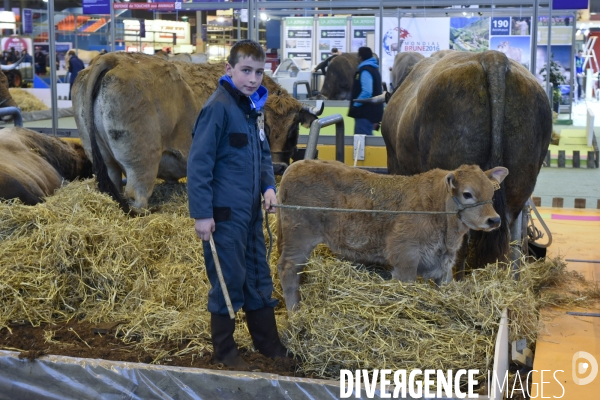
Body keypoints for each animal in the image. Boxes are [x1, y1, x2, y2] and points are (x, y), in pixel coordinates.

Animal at [276, 159, 506, 312]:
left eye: (492, 193)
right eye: (467, 194)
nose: (494, 220)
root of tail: (296, 165)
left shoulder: (445, 266)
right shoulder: (405, 259)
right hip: (299, 237)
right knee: (288, 269)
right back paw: (295, 311)